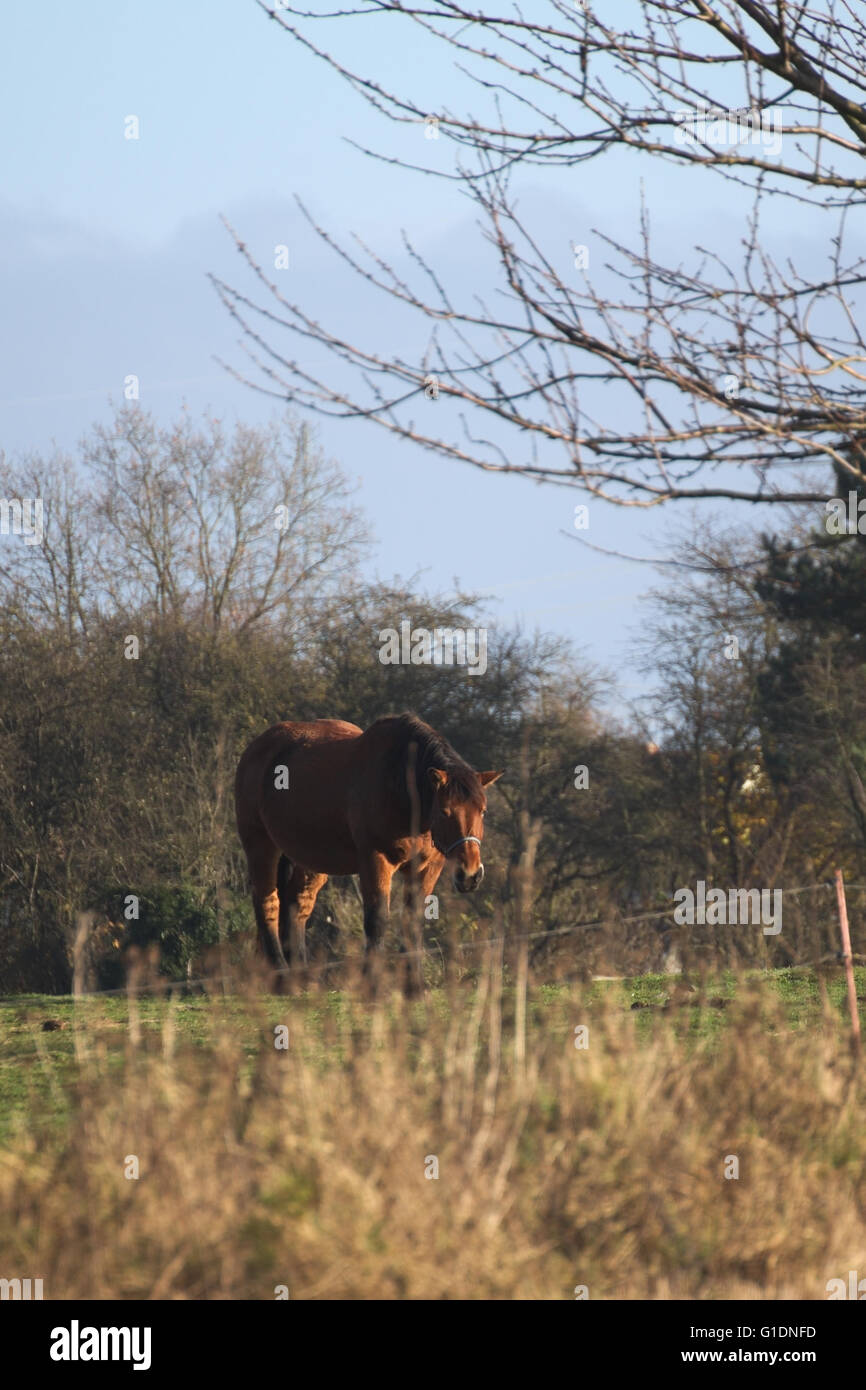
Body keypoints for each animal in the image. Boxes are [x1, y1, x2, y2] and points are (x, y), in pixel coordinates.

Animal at [235, 712, 502, 981]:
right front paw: (371, 979)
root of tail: (255, 749)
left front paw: (414, 982)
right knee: (267, 903)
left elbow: (413, 921)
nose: (470, 874)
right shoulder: (376, 859)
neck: (400, 786)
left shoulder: (428, 866)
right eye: (445, 812)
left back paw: (302, 977)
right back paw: (281, 972)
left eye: (483, 811)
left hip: (310, 857)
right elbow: (377, 920)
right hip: (260, 845)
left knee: (297, 904)